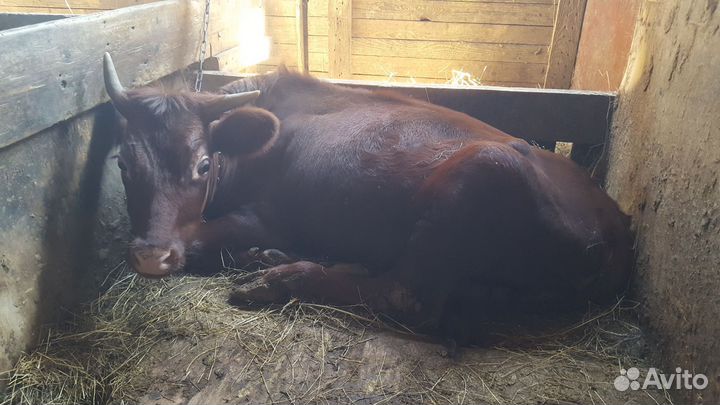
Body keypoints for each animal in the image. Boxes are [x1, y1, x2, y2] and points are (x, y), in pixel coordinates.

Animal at [102, 53, 632, 336]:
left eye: (204, 165)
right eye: (124, 164)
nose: (150, 256)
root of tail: (616, 228)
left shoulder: (264, 218)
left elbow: (201, 239)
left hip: (486, 167)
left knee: (404, 296)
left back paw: (279, 277)